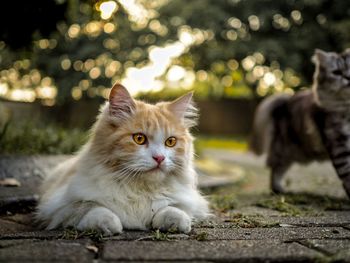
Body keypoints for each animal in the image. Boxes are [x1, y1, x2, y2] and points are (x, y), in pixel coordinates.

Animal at [37, 84, 209, 235]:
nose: (159, 158)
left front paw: (177, 222)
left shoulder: (186, 201)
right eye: (139, 139)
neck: (139, 189)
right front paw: (107, 224)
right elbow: (91, 208)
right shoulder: (59, 204)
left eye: (170, 142)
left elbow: (171, 208)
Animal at [250, 49, 350, 198]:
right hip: (285, 150)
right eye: (337, 72)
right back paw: (278, 189)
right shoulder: (338, 143)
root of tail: (284, 102)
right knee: (275, 168)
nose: (348, 78)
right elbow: (346, 171)